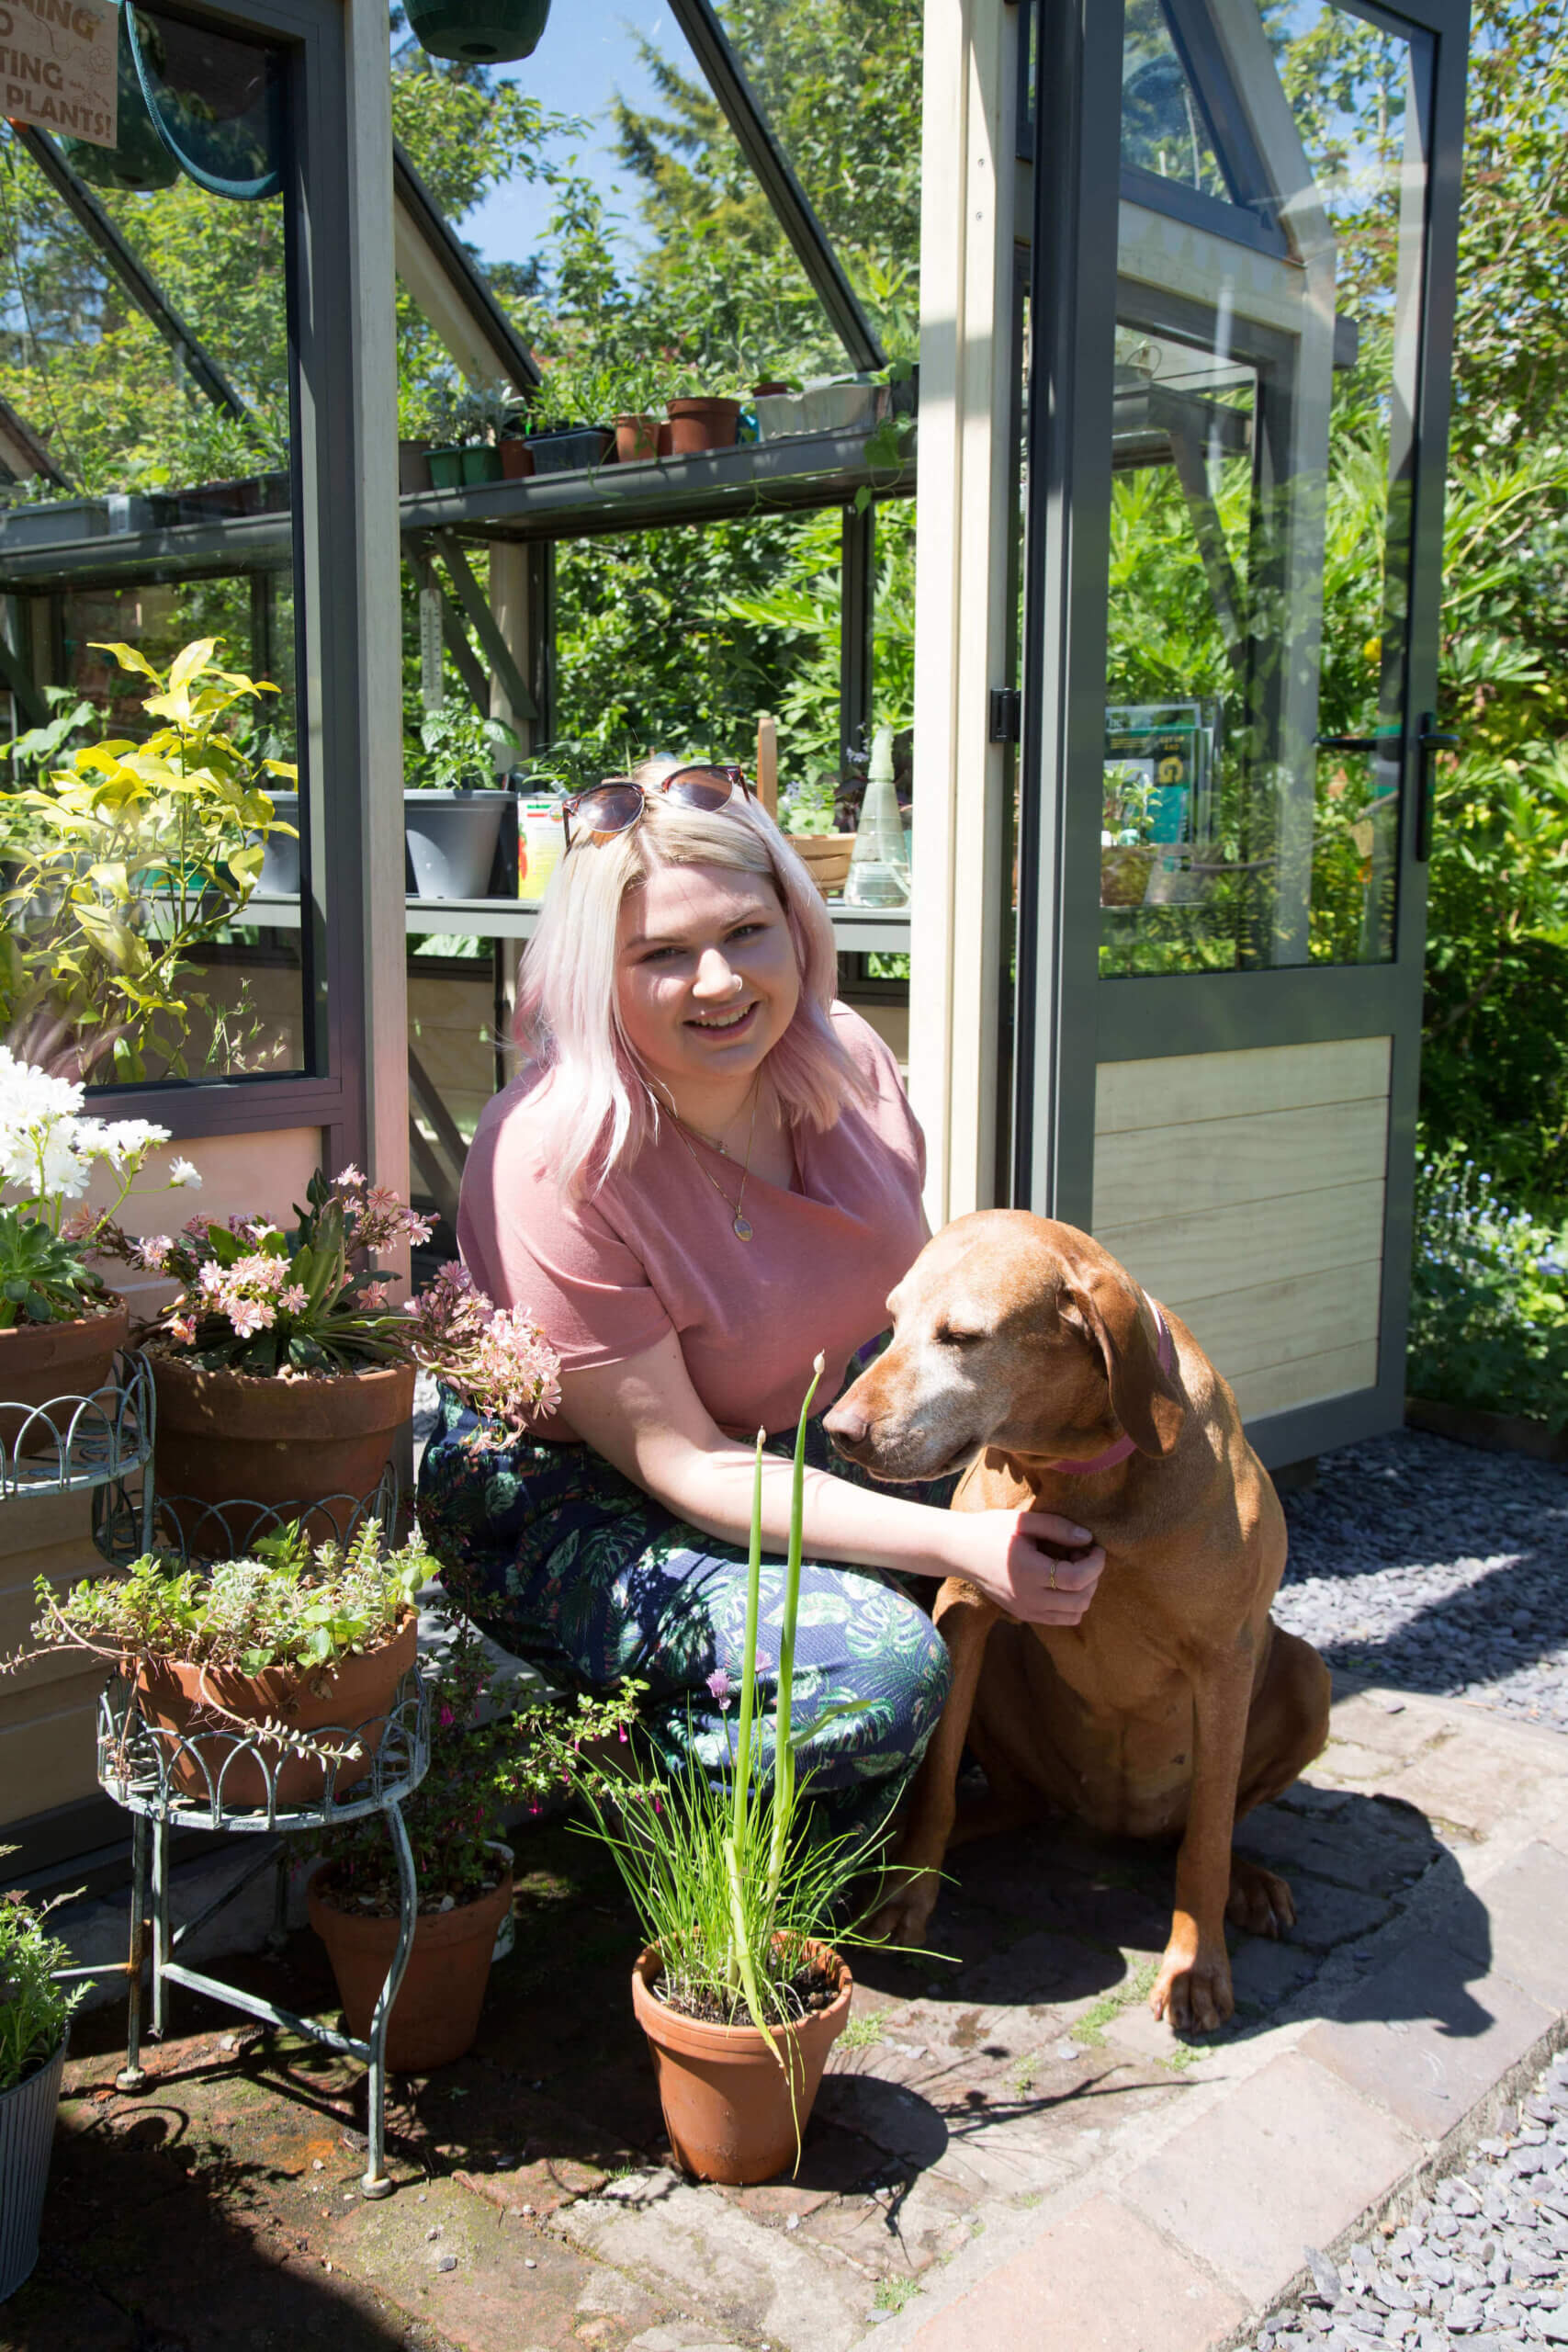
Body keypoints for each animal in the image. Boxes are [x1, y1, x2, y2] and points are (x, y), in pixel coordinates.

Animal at [827, 1213, 1335, 2022]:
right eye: (893, 1320)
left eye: (962, 1336)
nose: (837, 1428)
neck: (1079, 1480)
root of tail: (1107, 1823)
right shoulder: (964, 1613)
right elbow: (935, 1785)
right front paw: (905, 1898)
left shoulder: (1223, 1658)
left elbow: (1207, 1841)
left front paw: (1196, 1968)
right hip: (1002, 1680)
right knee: (1011, 1802)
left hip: (1306, 1674)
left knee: (1205, 1827)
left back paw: (1249, 1883)